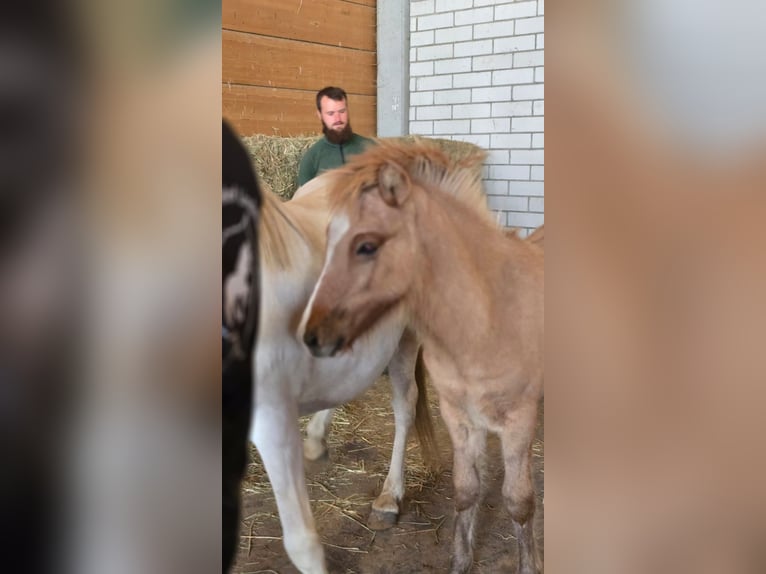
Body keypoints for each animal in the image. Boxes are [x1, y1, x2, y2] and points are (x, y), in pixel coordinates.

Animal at [301, 141, 544, 574]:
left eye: (367, 245)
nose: (313, 336)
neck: (488, 318)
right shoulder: (460, 418)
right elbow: (466, 490)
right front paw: (461, 562)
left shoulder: (519, 421)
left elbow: (519, 502)